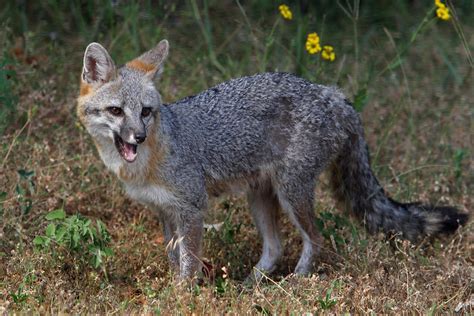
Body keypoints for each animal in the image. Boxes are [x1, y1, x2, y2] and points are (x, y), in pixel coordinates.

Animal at [77, 40, 466, 280]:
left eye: (145, 112)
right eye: (116, 111)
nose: (138, 137)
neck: (148, 161)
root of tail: (333, 94)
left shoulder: (192, 208)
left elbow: (189, 264)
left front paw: (184, 297)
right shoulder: (166, 212)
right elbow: (176, 260)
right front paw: (174, 290)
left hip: (291, 193)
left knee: (315, 240)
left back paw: (296, 282)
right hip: (261, 198)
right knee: (275, 248)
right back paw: (250, 287)